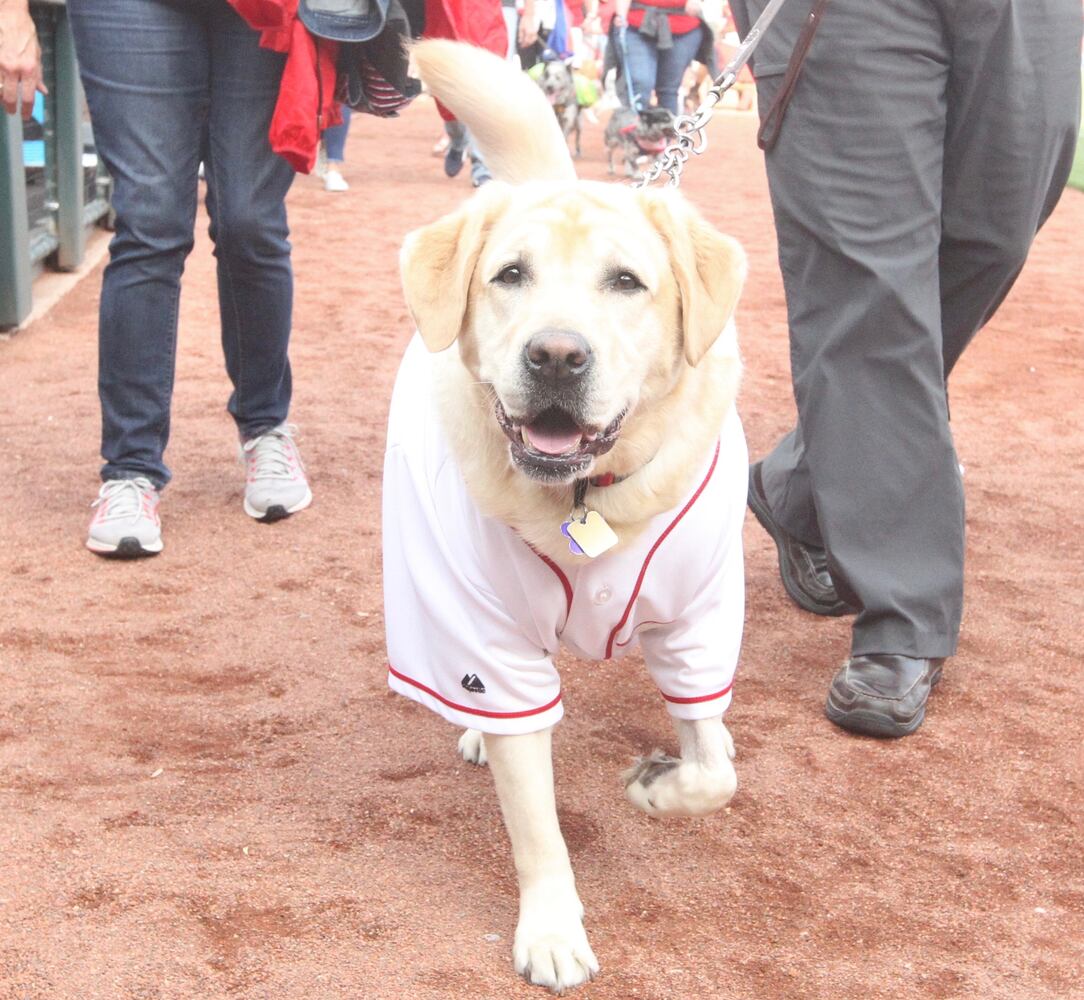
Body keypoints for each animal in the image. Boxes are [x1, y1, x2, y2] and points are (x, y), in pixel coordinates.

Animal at [392, 39, 754, 992]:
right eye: (510, 275)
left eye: (626, 282)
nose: (556, 356)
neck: (591, 498)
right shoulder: (488, 638)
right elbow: (538, 826)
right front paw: (552, 929)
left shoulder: (703, 622)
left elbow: (715, 772)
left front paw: (664, 784)